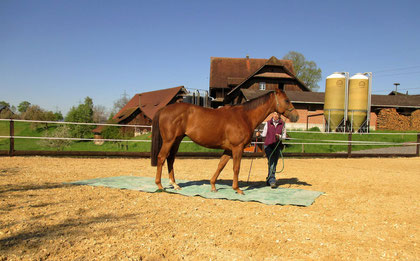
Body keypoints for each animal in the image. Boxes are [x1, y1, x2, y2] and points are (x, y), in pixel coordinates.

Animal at [151, 89, 298, 193]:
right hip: (169, 141)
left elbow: (221, 165)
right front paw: (237, 189)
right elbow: (236, 168)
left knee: (170, 159)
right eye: (286, 100)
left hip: (177, 140)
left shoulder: (228, 149)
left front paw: (213, 186)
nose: (296, 116)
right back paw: (160, 185)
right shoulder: (237, 148)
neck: (244, 116)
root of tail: (164, 109)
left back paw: (175, 185)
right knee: (161, 157)